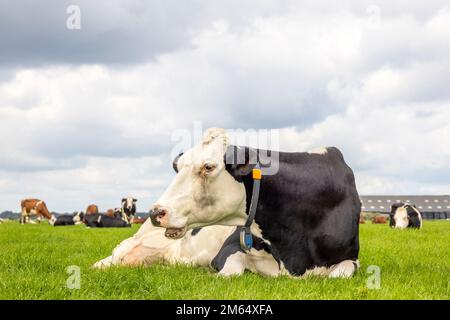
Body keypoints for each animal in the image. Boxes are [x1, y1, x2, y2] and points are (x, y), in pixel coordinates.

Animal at [149, 127, 360, 278]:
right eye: (178, 167)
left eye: (208, 167)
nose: (155, 212)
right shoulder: (228, 248)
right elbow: (229, 272)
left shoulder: (351, 258)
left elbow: (341, 273)